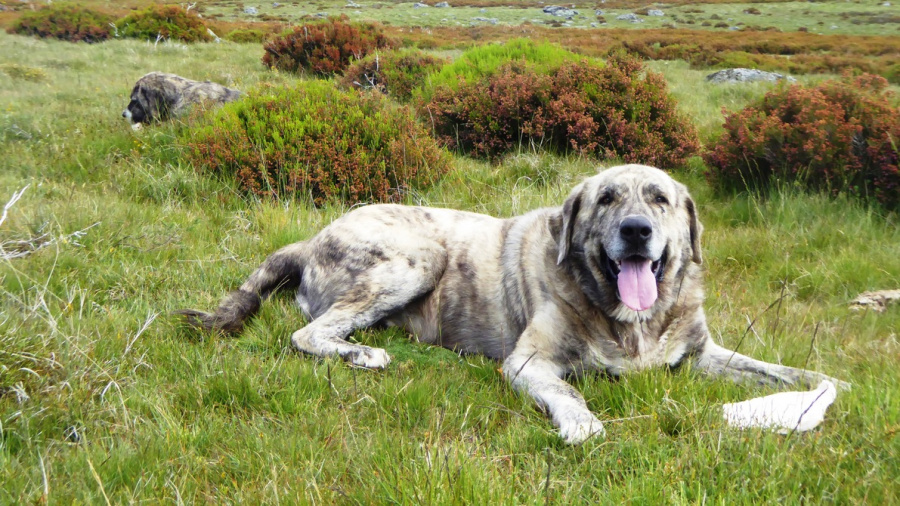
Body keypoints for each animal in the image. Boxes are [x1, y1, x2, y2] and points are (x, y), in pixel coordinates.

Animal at [181, 165, 844, 442]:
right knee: (308, 333)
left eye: (658, 198)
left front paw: (821, 388)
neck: (632, 320)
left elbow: (791, 373)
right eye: (606, 198)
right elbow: (569, 392)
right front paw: (582, 421)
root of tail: (314, 235)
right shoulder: (531, 363)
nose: (636, 231)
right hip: (418, 256)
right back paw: (364, 354)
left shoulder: (704, 355)